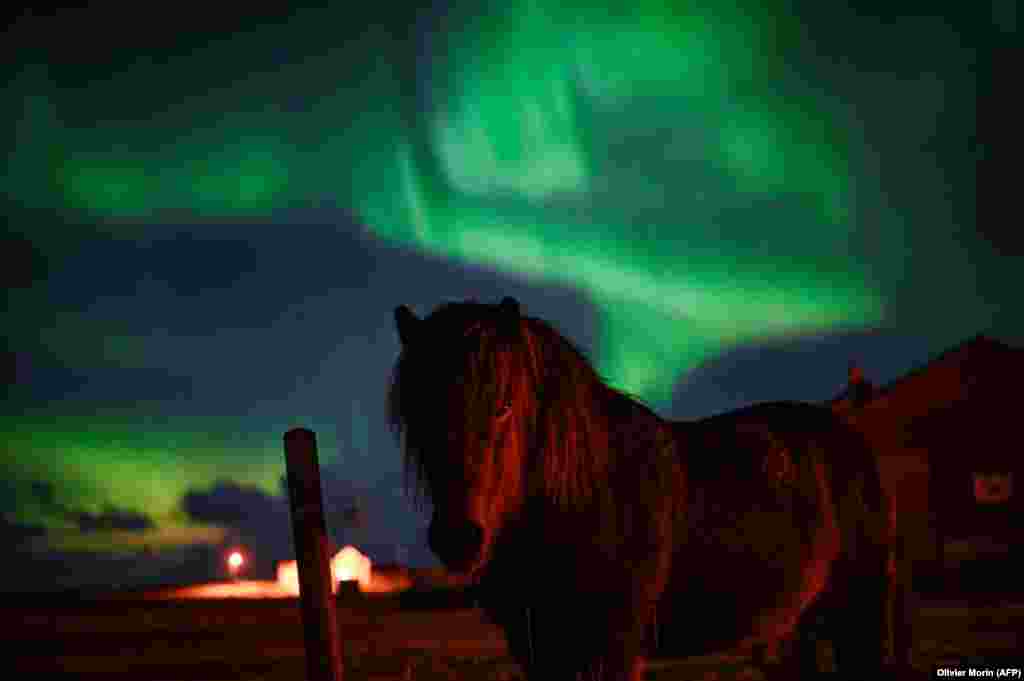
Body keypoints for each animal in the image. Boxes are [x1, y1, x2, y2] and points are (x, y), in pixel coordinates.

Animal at [389, 296, 905, 679]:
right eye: (417, 410)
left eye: (503, 405)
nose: (458, 538)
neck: (585, 497)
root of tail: (850, 437)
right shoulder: (541, 654)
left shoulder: (611, 653)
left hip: (857, 618)